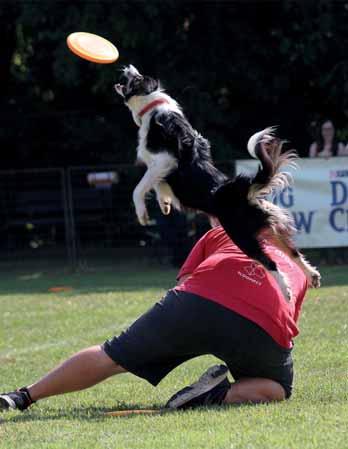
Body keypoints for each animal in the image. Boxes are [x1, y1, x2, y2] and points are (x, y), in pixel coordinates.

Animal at [115, 64, 320, 294]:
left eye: (137, 77)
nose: (127, 67)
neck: (152, 107)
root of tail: (242, 192)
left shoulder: (163, 161)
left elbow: (139, 188)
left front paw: (143, 214)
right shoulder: (160, 168)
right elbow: (158, 185)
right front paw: (165, 203)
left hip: (241, 235)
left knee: (270, 262)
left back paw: (286, 292)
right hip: (267, 225)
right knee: (292, 251)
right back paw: (312, 275)